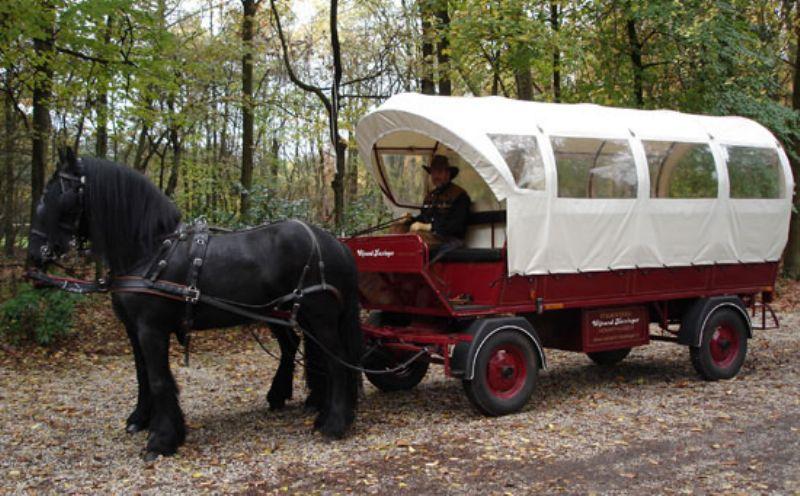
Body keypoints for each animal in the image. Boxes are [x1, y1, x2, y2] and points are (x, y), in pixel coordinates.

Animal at [25, 148, 362, 462]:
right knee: (297, 348)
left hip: (319, 316)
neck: (151, 251)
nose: (33, 255)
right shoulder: (134, 330)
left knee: (337, 362)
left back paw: (334, 423)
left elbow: (159, 379)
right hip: (283, 312)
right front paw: (141, 420)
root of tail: (334, 242)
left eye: (55, 193)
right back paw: (299, 402)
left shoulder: (151, 330)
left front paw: (162, 439)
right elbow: (142, 375)